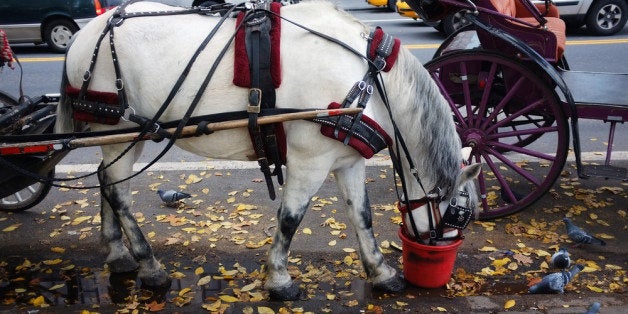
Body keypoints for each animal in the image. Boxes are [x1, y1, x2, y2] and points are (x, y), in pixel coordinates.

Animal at [57, 0, 480, 300]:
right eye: (459, 214)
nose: (441, 256)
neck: (369, 79)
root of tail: (84, 35)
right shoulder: (310, 160)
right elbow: (290, 219)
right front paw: (279, 279)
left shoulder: (346, 161)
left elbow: (362, 217)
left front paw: (381, 272)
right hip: (119, 131)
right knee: (119, 193)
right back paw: (149, 267)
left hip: (123, 135)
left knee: (106, 182)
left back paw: (118, 254)